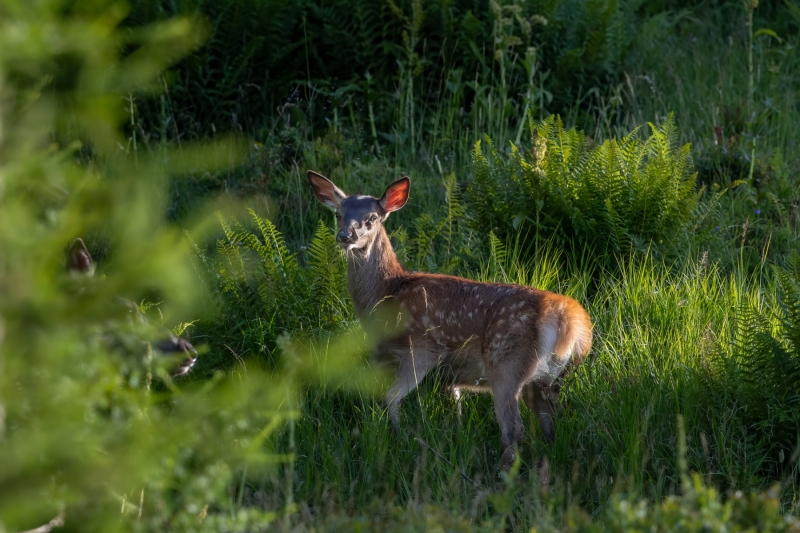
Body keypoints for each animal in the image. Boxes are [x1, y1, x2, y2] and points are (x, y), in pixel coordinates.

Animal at [307, 171, 593, 470]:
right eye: (338, 213)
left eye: (372, 218)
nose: (345, 235)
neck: (386, 294)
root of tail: (570, 318)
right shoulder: (446, 374)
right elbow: (454, 407)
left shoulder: (422, 349)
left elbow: (390, 400)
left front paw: (398, 439)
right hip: (549, 379)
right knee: (550, 423)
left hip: (507, 363)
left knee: (514, 428)